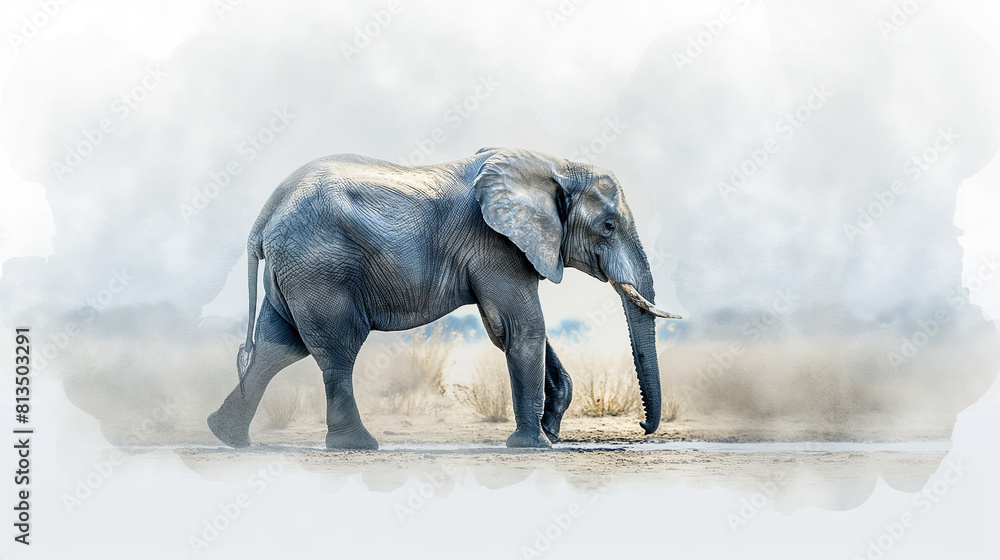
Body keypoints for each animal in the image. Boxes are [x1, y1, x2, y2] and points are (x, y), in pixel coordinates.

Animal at [207, 147, 680, 450]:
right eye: (609, 226)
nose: (642, 425)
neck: (557, 165)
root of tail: (266, 213)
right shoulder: (495, 245)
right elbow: (520, 328)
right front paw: (532, 445)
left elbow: (510, 328)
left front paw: (550, 431)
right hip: (321, 268)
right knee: (335, 350)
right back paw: (358, 445)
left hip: (295, 270)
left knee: (277, 346)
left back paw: (227, 436)